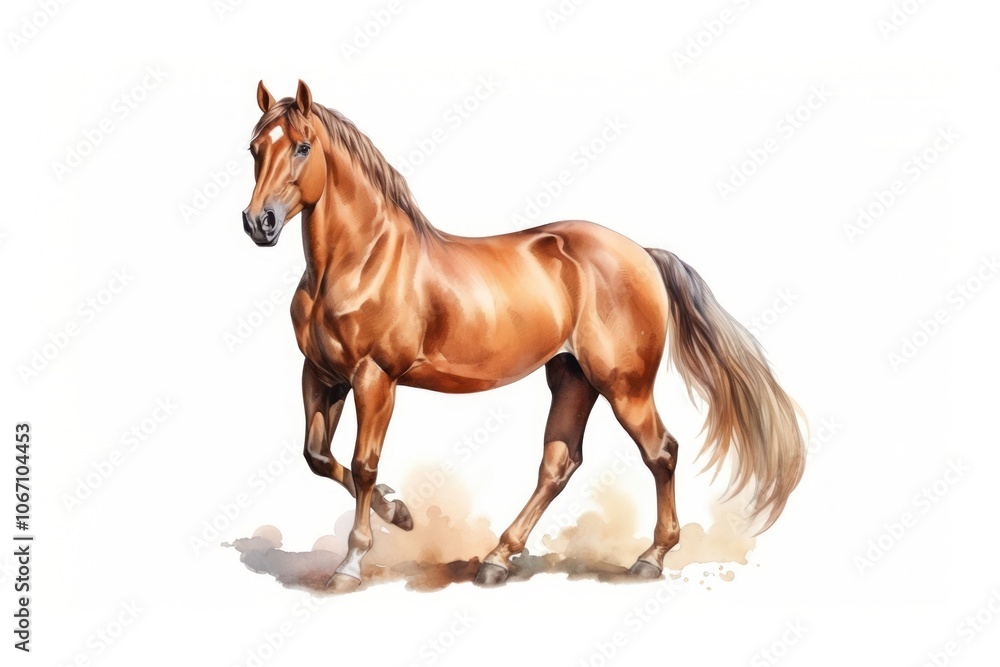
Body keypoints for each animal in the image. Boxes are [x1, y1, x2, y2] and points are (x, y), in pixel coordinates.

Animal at [242, 80, 806, 592]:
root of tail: (642, 254)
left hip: (624, 386)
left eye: (302, 146)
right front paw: (399, 512)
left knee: (660, 452)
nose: (258, 223)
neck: (362, 261)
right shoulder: (322, 375)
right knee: (559, 464)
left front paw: (351, 564)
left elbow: (362, 465)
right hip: (572, 378)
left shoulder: (374, 378)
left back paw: (649, 559)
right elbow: (318, 457)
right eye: (254, 148)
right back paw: (497, 559)